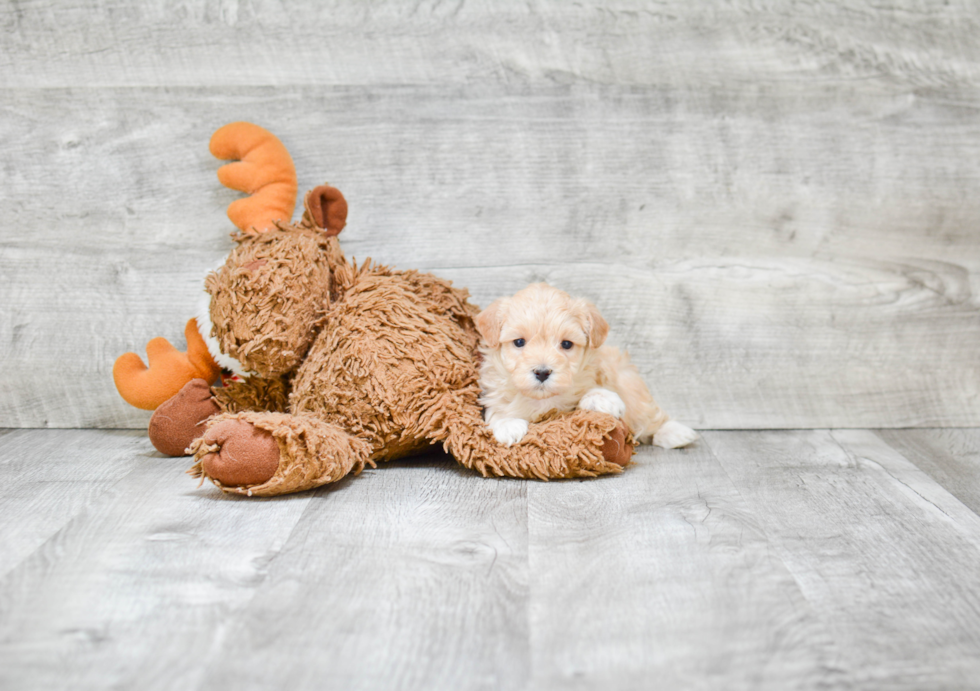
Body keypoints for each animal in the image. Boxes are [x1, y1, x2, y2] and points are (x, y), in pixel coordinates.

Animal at [476, 284, 696, 452]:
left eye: (566, 344)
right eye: (519, 342)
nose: (542, 372)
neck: (543, 400)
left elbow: (592, 391)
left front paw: (602, 399)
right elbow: (497, 410)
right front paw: (507, 424)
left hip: (630, 384)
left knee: (648, 415)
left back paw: (674, 433)